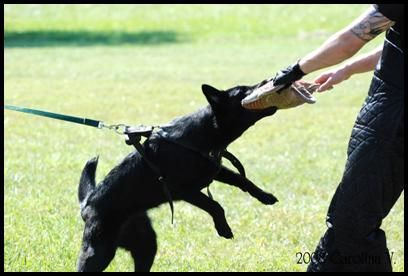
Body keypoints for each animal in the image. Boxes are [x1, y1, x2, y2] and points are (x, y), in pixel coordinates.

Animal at [77, 82, 278, 272]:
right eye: (244, 91)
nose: (267, 80)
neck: (202, 134)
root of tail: (87, 203)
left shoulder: (215, 169)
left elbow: (241, 179)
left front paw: (265, 196)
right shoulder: (183, 190)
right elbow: (215, 205)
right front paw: (223, 228)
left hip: (146, 245)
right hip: (99, 253)